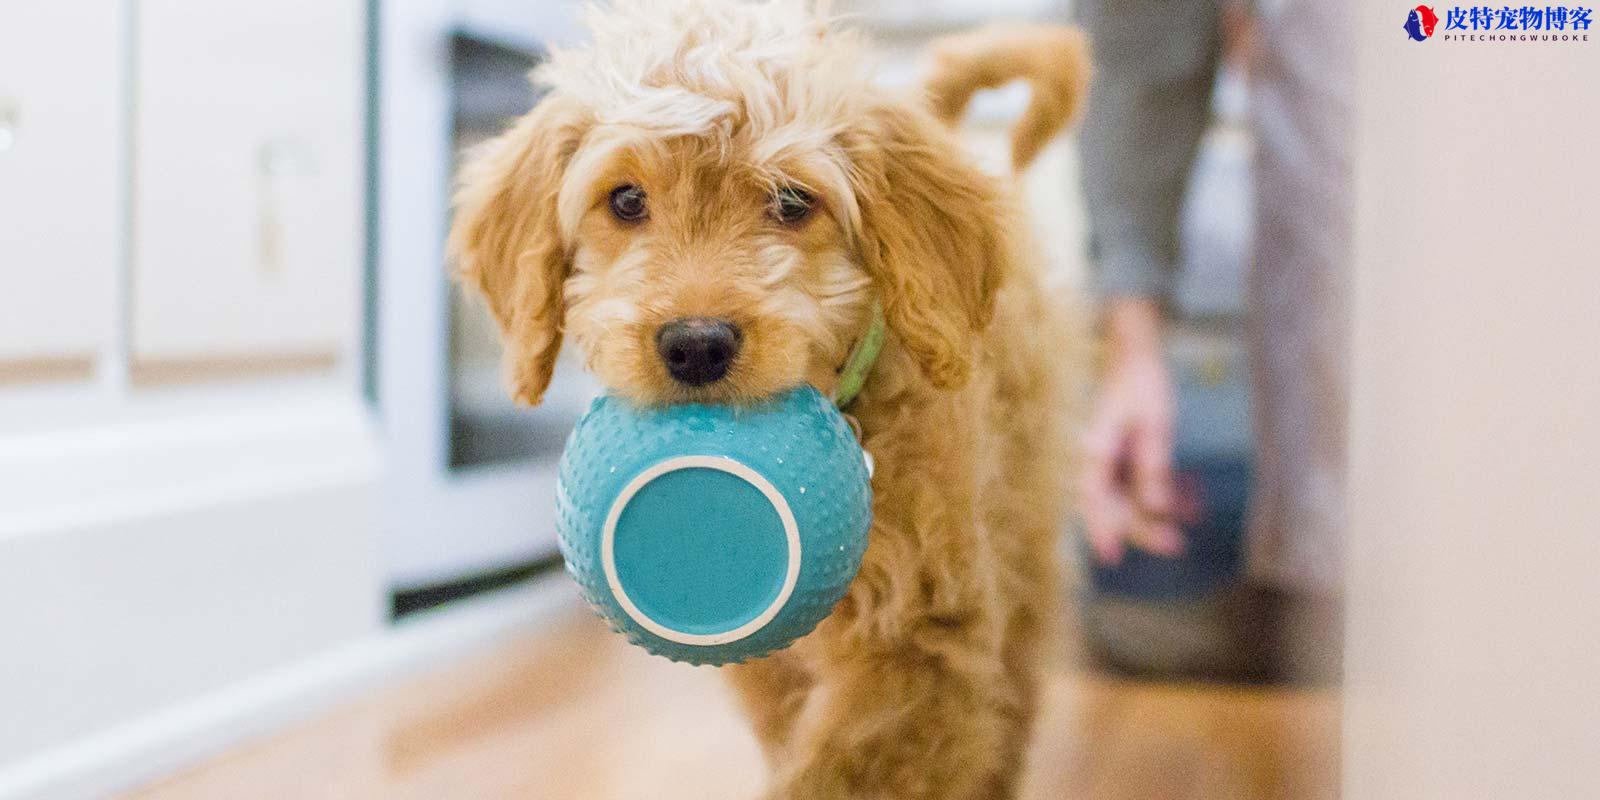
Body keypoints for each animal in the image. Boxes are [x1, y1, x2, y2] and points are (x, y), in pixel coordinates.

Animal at [454, 3, 1100, 796]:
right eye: (627, 200)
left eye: (792, 202)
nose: (696, 345)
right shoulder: (771, 666)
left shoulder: (920, 641)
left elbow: (848, 766)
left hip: (1023, 531)